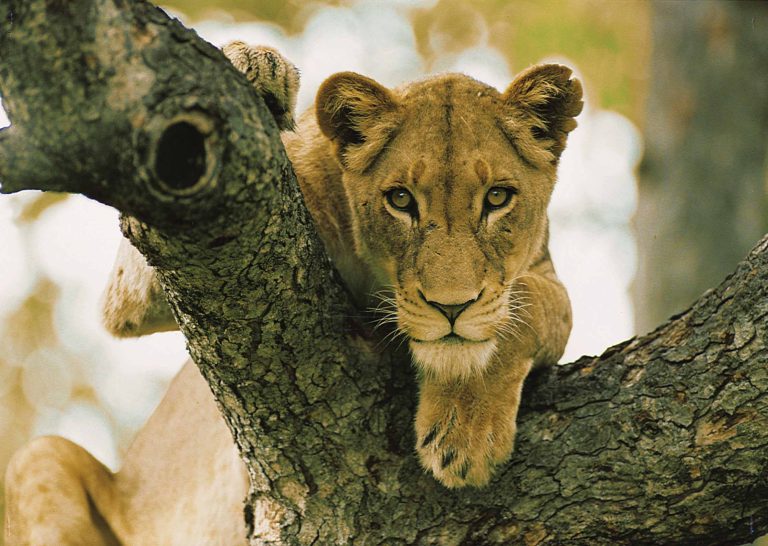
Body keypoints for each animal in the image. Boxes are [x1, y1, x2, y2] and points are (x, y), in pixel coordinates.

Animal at [4, 41, 581, 544]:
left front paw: (465, 435)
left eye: (498, 198)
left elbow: (535, 304)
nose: (452, 306)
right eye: (400, 200)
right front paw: (251, 66)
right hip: (39, 458)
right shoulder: (140, 287)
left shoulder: (544, 274)